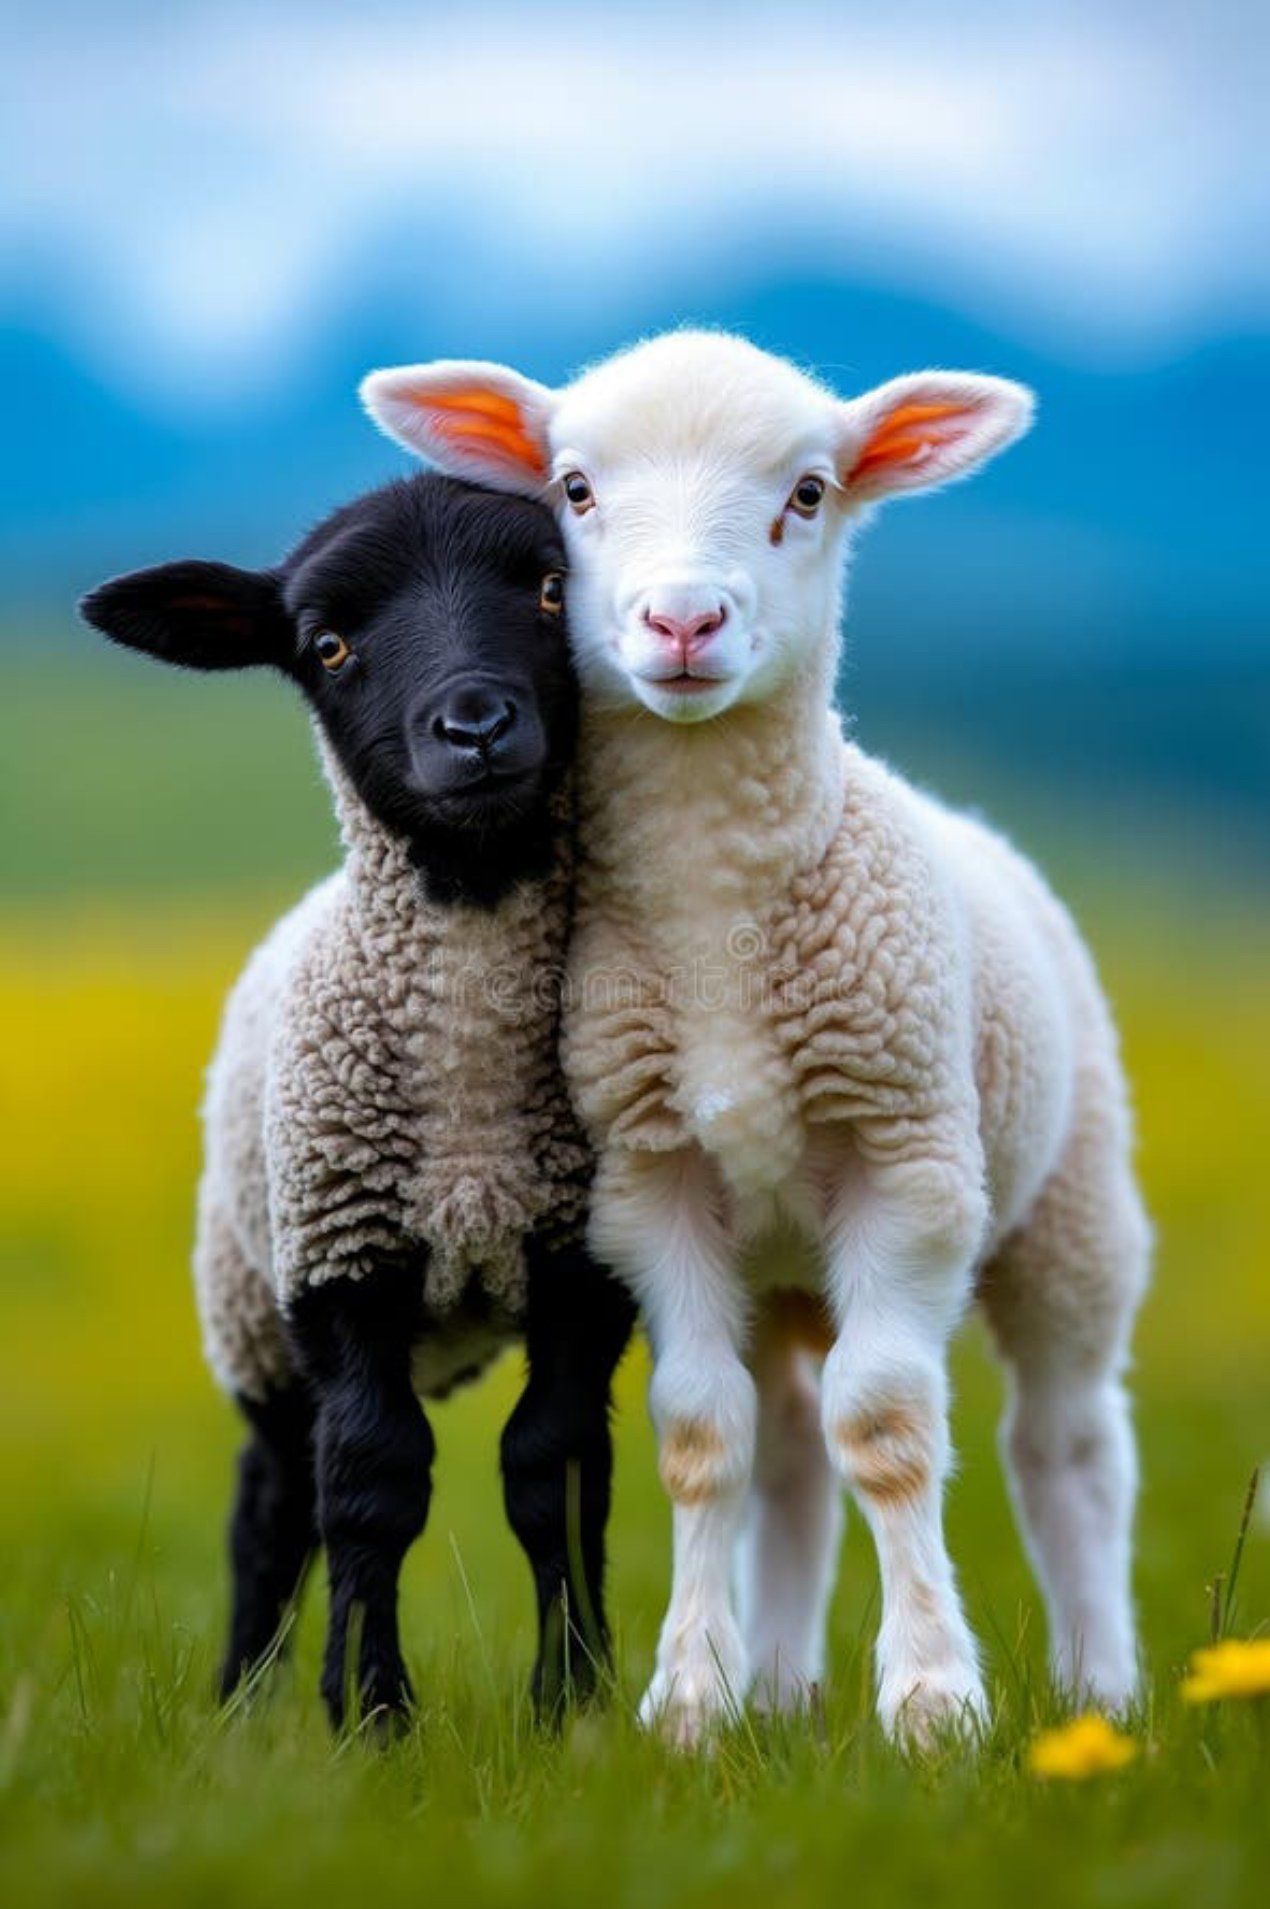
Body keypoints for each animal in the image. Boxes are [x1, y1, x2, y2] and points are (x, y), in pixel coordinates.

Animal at [79, 473, 636, 1731]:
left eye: (549, 587)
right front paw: (371, 1716)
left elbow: (555, 1469)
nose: (474, 726)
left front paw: (571, 1708)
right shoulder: (341, 1261)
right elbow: (372, 1484)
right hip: (252, 1304)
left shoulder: (584, 1263)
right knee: (276, 1502)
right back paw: (241, 1714)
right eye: (327, 644)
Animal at [360, 333, 1152, 1749]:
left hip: (1068, 1206)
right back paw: (781, 1689)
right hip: (786, 1265)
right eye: (573, 490)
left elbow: (887, 1424)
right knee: (789, 1444)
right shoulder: (648, 1177)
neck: (714, 930)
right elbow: (699, 1434)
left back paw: (1101, 1692)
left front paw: (933, 1703)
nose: (683, 623)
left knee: (1066, 1443)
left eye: (809, 492)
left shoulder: (909, 1163)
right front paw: (689, 1702)